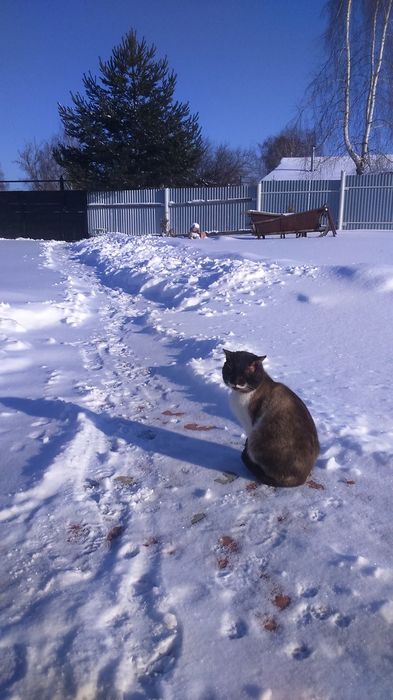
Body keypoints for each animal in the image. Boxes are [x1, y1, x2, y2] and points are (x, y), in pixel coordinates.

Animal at [220, 348, 318, 486]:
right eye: (230, 372)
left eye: (242, 377)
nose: (234, 382)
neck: (242, 394)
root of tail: (302, 479)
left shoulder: (250, 425)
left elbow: (247, 442)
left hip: (257, 437)